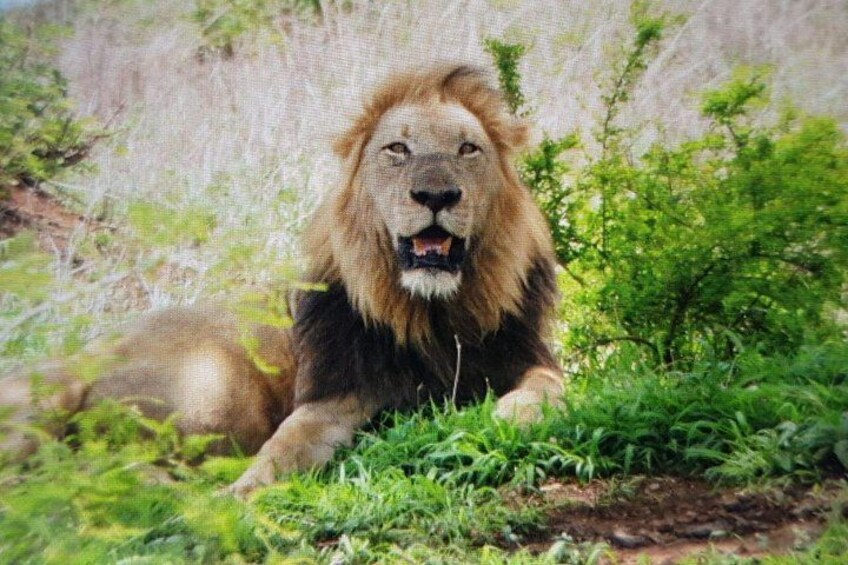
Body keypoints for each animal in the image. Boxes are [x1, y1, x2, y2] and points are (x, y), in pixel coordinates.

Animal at [0, 64, 564, 496]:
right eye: (397, 149)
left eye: (468, 149)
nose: (437, 195)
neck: (430, 311)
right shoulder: (335, 392)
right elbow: (288, 445)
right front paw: (241, 495)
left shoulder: (526, 354)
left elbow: (548, 387)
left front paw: (512, 417)